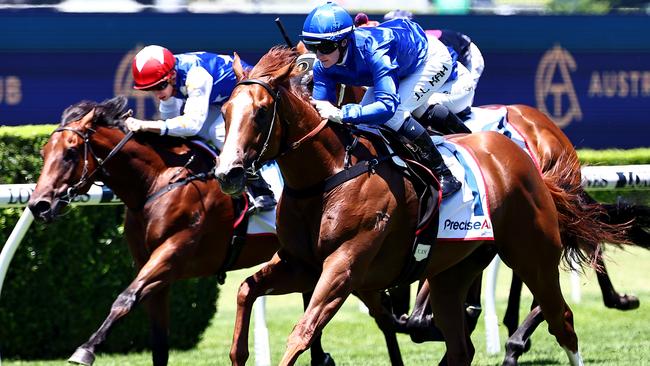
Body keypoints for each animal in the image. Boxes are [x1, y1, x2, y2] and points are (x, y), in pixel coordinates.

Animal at [24, 96, 334, 366]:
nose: (39, 205)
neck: (158, 182)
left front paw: (86, 349)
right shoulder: (155, 269)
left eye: (70, 152)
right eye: (43, 152)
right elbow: (158, 342)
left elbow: (124, 298)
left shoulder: (172, 253)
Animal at [214, 45, 612, 366]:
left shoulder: (344, 266)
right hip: (453, 272)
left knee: (563, 321)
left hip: (532, 253)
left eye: (261, 112)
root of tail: (524, 157)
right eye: (226, 111)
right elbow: (246, 291)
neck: (328, 176)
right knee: (461, 348)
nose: (227, 172)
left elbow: (303, 331)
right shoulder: (301, 264)